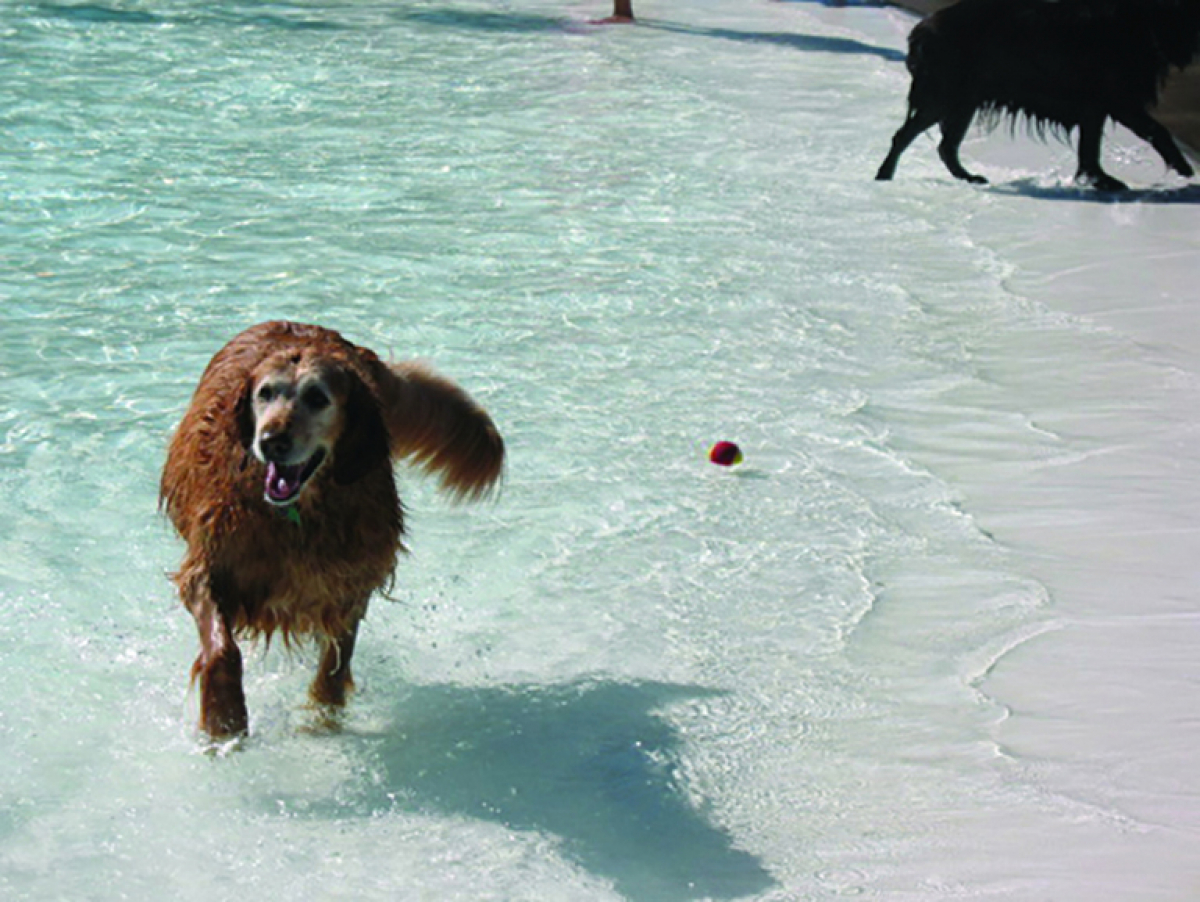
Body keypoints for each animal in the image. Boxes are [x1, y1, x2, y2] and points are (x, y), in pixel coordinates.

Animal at [159, 319, 501, 738]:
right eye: (265, 393)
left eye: (317, 398)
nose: (271, 441)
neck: (297, 514)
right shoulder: (207, 567)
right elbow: (221, 648)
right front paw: (226, 718)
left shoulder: (349, 580)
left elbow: (336, 664)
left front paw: (322, 719)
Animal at [873, 0, 1200, 188]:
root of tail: (919, 30)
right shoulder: (1118, 100)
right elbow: (1157, 131)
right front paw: (1186, 170)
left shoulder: (1095, 106)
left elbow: (1089, 149)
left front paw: (1096, 179)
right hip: (944, 95)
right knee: (905, 136)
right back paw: (884, 176)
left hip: (963, 101)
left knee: (946, 146)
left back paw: (968, 177)